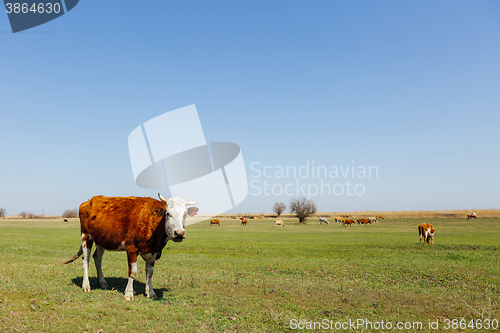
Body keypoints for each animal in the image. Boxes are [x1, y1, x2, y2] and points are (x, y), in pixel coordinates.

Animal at [64, 193, 199, 300]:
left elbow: (149, 273)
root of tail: (88, 201)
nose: (179, 233)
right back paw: (86, 285)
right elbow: (132, 272)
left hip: (101, 239)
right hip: (86, 236)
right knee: (85, 260)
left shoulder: (153, 253)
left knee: (97, 258)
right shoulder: (131, 249)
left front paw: (150, 292)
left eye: (185, 214)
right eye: (168, 213)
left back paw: (102, 282)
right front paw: (128, 294)